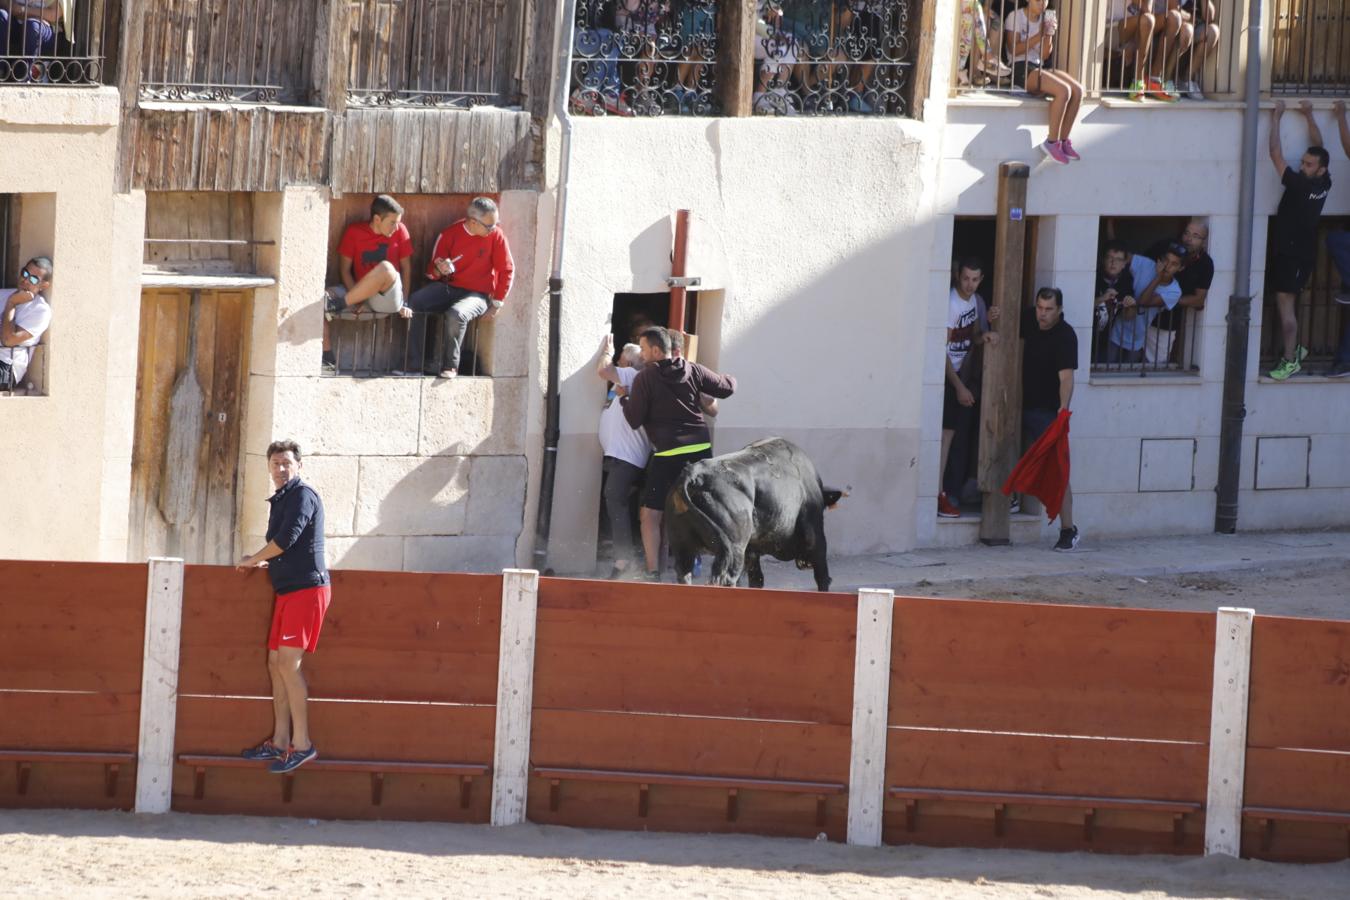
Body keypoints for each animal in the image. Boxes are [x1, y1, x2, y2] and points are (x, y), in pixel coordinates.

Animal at [664, 437, 842, 591]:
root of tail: (694, 474)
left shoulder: (752, 551)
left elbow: (757, 580)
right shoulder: (816, 538)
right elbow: (823, 577)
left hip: (683, 547)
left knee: (684, 575)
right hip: (733, 550)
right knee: (725, 579)